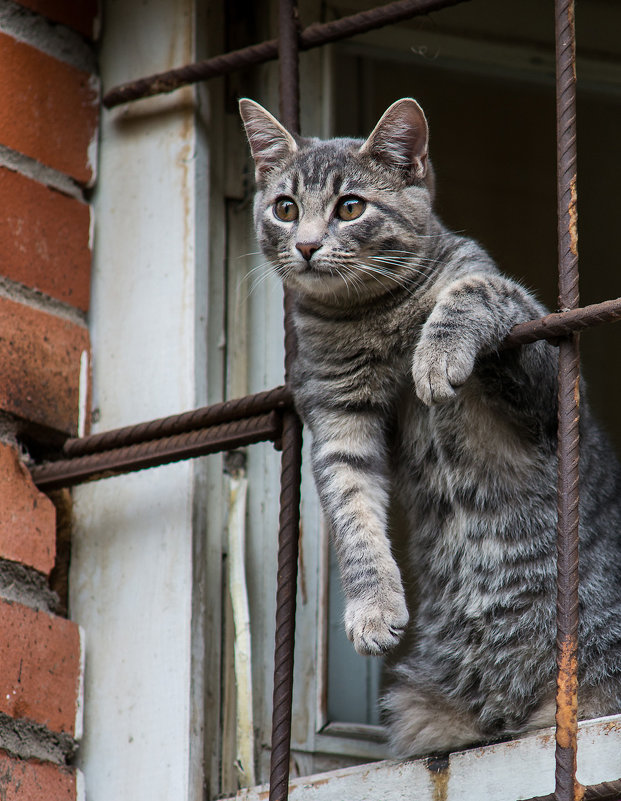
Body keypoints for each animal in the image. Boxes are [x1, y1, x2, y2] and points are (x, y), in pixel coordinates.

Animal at [237, 95, 620, 756]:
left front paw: (436, 352)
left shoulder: (546, 377)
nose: (307, 245)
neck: (371, 319)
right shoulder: (336, 416)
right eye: (285, 208)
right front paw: (372, 607)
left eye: (350, 207)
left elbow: (475, 290)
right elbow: (353, 518)